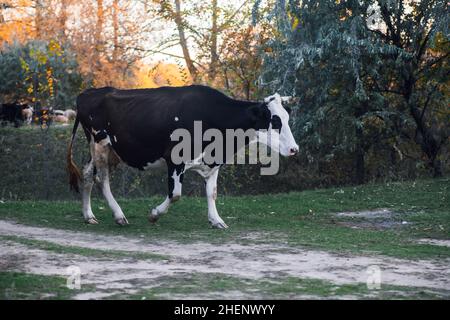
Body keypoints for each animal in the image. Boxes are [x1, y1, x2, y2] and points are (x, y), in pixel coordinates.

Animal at [67, 85, 298, 228]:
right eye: (274, 121)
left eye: (287, 118)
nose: (294, 149)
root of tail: (88, 92)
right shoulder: (174, 159)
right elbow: (175, 194)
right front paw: (154, 214)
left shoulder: (213, 162)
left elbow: (212, 192)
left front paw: (216, 220)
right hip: (100, 144)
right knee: (101, 178)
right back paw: (118, 215)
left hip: (111, 151)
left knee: (87, 174)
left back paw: (89, 215)